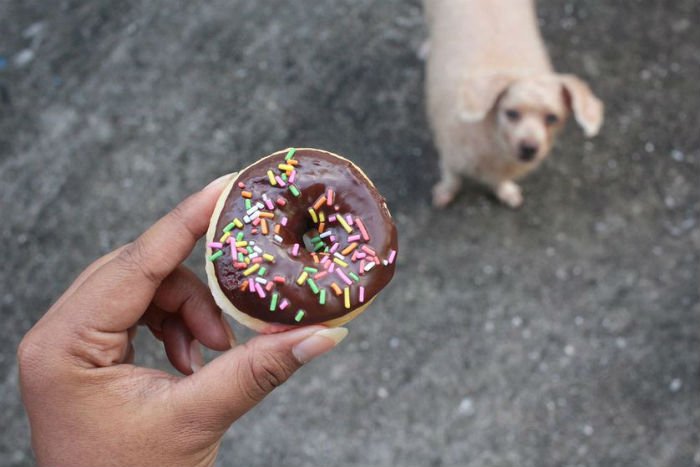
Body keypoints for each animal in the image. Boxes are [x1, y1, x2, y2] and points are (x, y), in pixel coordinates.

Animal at [424, 0, 604, 208]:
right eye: (511, 113)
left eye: (552, 118)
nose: (529, 149)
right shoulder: (450, 154)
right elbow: (451, 178)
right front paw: (445, 193)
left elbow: (500, 181)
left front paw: (505, 191)